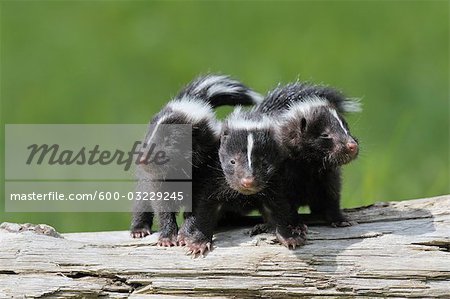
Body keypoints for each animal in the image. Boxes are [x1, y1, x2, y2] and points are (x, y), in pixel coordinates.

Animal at [129, 74, 264, 246]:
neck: (182, 168)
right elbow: (162, 204)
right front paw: (168, 236)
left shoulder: (210, 172)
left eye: (169, 140)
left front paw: (185, 234)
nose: (143, 158)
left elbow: (200, 206)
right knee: (141, 200)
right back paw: (139, 229)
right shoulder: (159, 178)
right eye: (149, 136)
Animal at [258, 82, 360, 227]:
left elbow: (332, 196)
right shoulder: (282, 173)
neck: (310, 164)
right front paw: (295, 225)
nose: (352, 146)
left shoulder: (328, 175)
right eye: (325, 135)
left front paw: (340, 220)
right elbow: (285, 202)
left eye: (346, 129)